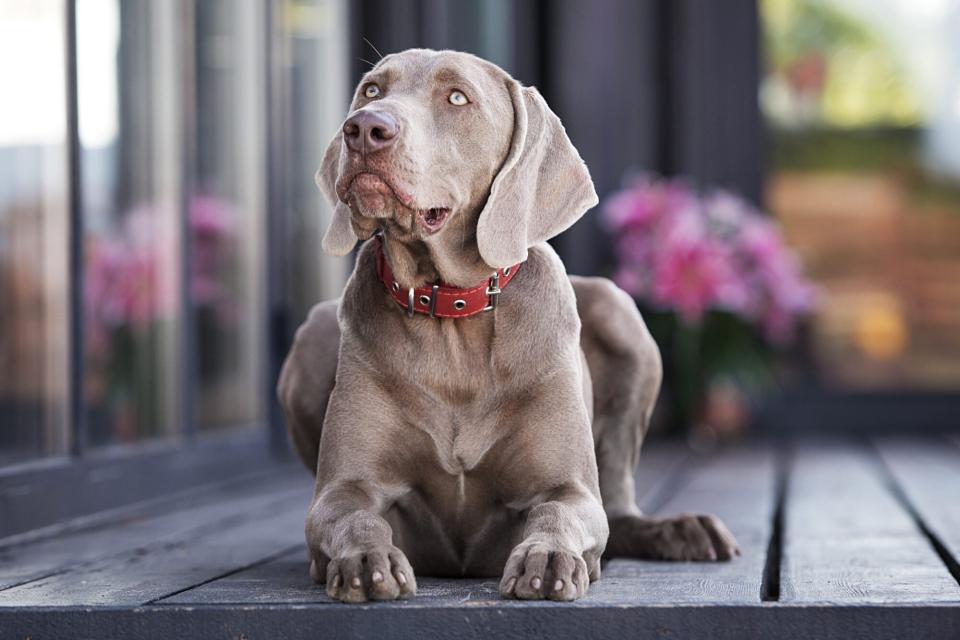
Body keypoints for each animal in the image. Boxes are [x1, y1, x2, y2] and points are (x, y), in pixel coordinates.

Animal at [274, 47, 740, 604]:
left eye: (457, 97)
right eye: (371, 90)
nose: (364, 128)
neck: (452, 314)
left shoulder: (571, 490)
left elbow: (559, 512)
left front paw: (547, 558)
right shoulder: (341, 491)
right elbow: (355, 518)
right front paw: (367, 561)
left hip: (618, 309)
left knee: (619, 508)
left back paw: (680, 529)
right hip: (315, 331)